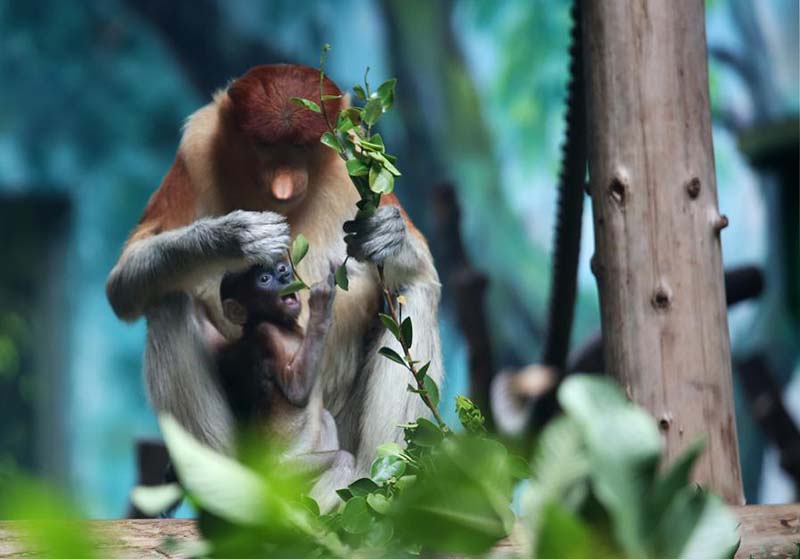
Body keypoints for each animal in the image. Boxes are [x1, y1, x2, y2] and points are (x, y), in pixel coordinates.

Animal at [106, 64, 443, 502]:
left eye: (301, 146)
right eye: (263, 144)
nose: (283, 186)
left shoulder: (356, 156)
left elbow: (423, 273)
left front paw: (385, 234)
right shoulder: (195, 149)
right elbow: (124, 283)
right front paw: (235, 235)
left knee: (412, 296)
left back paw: (380, 484)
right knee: (167, 301)